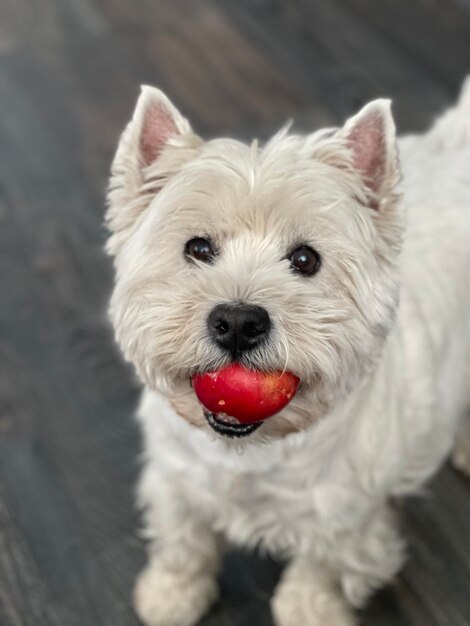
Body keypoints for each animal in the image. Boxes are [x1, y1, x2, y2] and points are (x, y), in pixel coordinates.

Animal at [105, 79, 470, 624]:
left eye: (305, 259)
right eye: (198, 248)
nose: (238, 323)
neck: (254, 449)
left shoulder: (347, 512)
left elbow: (324, 563)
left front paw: (309, 608)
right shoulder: (176, 476)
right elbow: (184, 541)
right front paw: (171, 595)